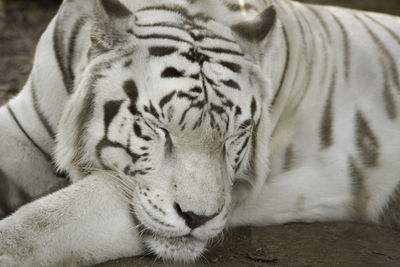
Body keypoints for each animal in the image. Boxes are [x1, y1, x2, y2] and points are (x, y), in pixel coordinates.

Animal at [0, 0, 400, 266]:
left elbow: (43, 223)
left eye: (235, 136)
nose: (198, 219)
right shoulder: (24, 128)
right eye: (159, 128)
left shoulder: (128, 190)